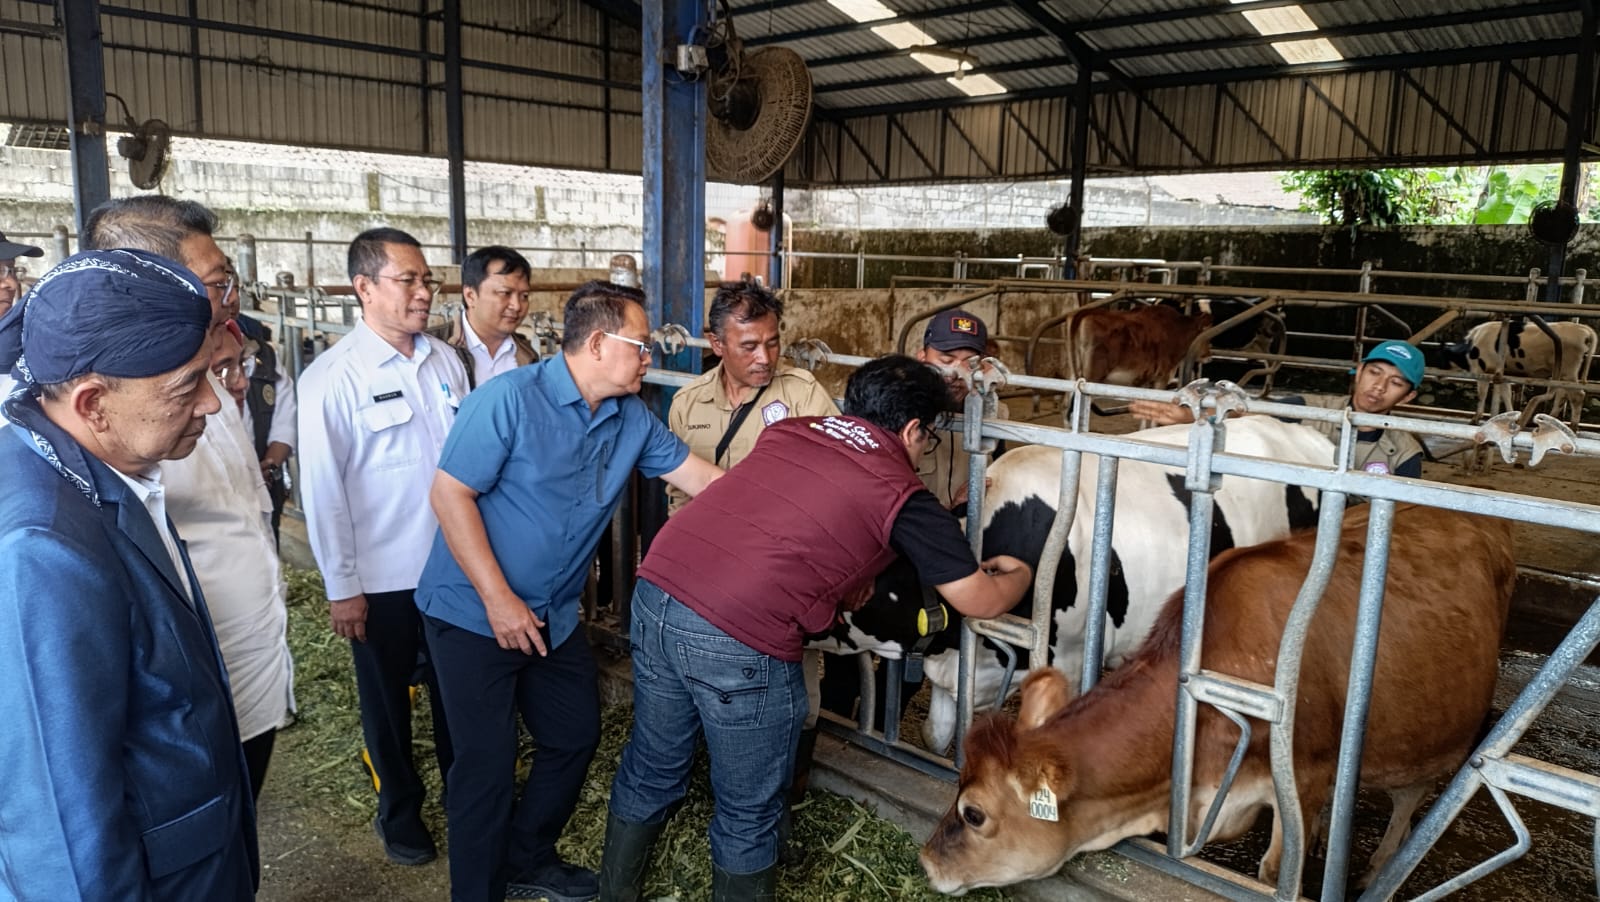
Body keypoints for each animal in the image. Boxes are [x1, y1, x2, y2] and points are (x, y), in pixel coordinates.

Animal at [921, 508, 1504, 895]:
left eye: (973, 814)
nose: (926, 860)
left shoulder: (1304, 776)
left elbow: (1274, 873)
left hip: (1432, 733)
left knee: (1409, 797)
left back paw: (1377, 867)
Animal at [1062, 302, 1209, 387]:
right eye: (1205, 331)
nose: (1209, 354)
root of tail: (1087, 311)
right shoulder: (1161, 378)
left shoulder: (1146, 381)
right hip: (1092, 375)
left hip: (1074, 372)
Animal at [1446, 319, 1593, 425]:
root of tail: (1583, 329)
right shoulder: (1502, 374)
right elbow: (1506, 394)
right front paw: (1511, 415)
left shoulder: (1483, 371)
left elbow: (1481, 395)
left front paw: (1476, 418)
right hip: (1564, 375)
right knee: (1562, 396)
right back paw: (1552, 420)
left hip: (1568, 372)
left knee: (1577, 395)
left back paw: (1573, 427)